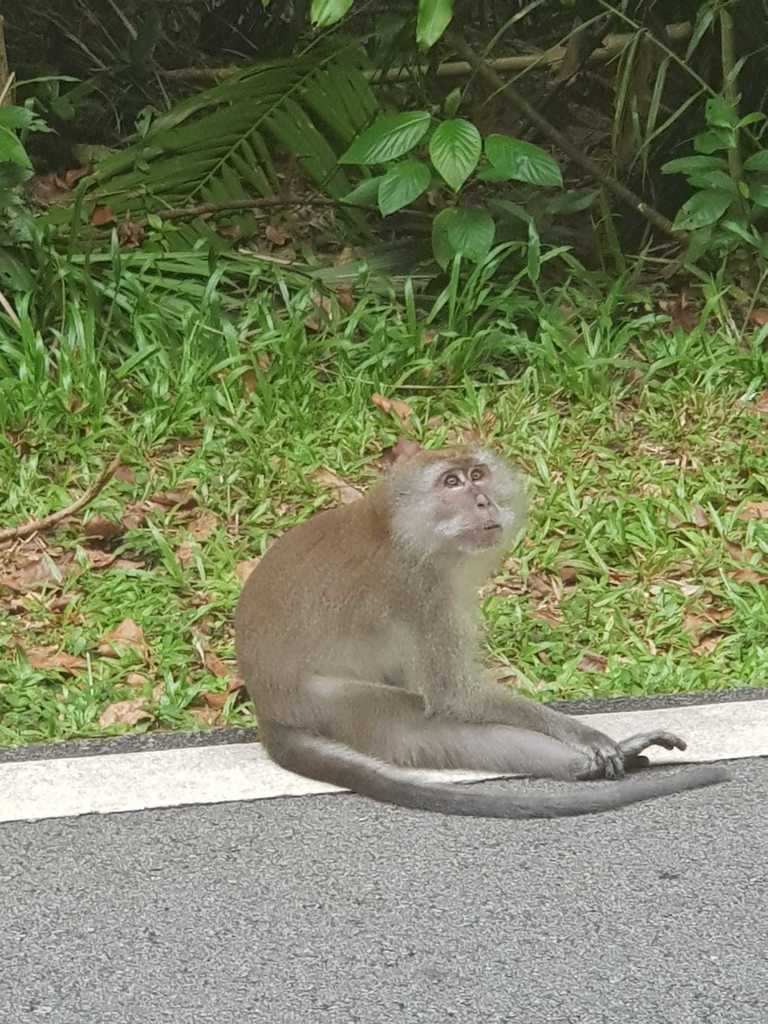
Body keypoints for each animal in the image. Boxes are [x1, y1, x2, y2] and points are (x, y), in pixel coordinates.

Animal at [237, 444, 729, 819]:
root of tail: (266, 706)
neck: (398, 529)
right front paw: (583, 734)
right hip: (326, 699)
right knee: (424, 726)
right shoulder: (422, 590)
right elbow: (454, 694)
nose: (482, 501)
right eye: (452, 482)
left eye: (478, 474)